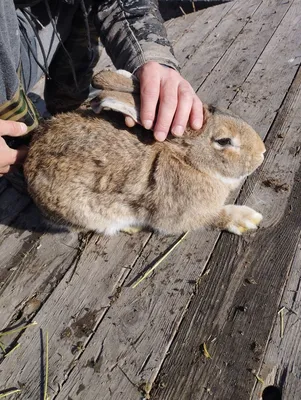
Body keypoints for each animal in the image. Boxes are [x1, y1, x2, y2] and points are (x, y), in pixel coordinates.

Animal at [23, 70, 264, 236]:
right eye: (224, 141)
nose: (262, 152)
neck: (185, 159)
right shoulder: (184, 215)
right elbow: (215, 217)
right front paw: (248, 219)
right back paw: (131, 228)